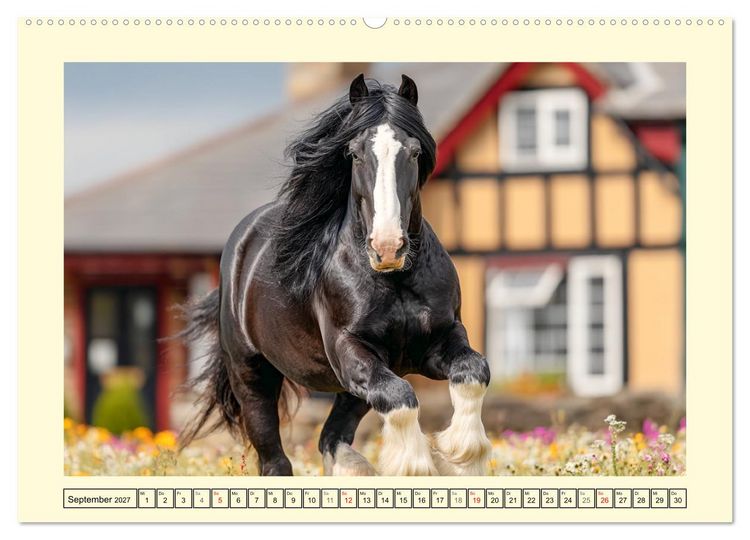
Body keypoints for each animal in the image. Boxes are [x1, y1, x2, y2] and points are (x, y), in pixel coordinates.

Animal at [179, 73, 492, 476]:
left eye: (413, 151)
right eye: (355, 153)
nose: (387, 247)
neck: (394, 281)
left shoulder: (437, 342)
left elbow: (474, 371)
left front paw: (462, 454)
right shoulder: (351, 350)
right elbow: (402, 398)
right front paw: (413, 465)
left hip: (354, 389)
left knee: (331, 437)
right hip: (252, 376)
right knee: (276, 459)